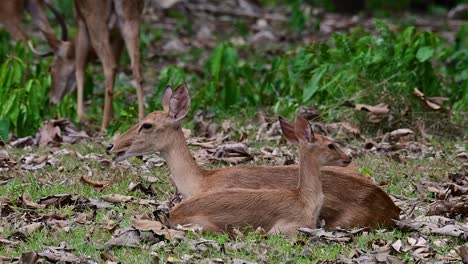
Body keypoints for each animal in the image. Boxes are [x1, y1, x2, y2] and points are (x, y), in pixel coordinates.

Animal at [33, 0, 145, 131]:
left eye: (51, 68)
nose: (52, 101)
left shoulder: (81, 22)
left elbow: (79, 67)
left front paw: (80, 117)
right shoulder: (117, 36)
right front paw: (112, 118)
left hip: (96, 21)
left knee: (109, 66)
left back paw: (103, 126)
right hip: (131, 18)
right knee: (136, 66)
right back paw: (141, 119)